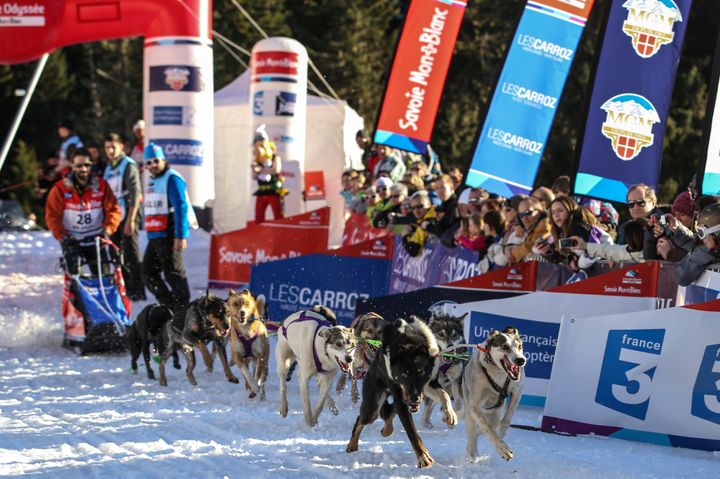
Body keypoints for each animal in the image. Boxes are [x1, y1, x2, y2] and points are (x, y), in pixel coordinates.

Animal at [348, 316, 458, 470]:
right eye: (404, 374)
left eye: (421, 372)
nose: (414, 397)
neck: (410, 342)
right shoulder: (400, 396)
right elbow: (412, 432)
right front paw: (423, 457)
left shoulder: (428, 384)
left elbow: (445, 395)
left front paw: (450, 414)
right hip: (371, 409)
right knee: (361, 419)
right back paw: (352, 444)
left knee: (389, 414)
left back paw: (385, 429)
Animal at [464, 326, 524, 462]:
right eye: (504, 346)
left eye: (519, 346)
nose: (521, 360)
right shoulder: (474, 406)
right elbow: (488, 430)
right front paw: (502, 449)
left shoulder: (517, 391)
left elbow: (507, 418)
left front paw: (502, 432)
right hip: (471, 414)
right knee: (473, 435)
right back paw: (471, 453)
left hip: (494, 415)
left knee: (483, 430)